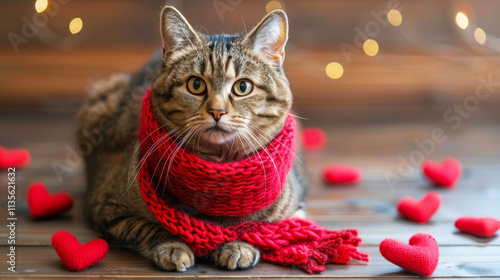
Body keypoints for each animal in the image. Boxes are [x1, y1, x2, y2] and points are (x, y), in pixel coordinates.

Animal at [78, 4, 306, 272]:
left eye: (243, 87)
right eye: (196, 84)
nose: (217, 111)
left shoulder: (295, 213)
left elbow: (259, 229)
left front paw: (238, 244)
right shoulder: (107, 209)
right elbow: (150, 228)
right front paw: (174, 246)